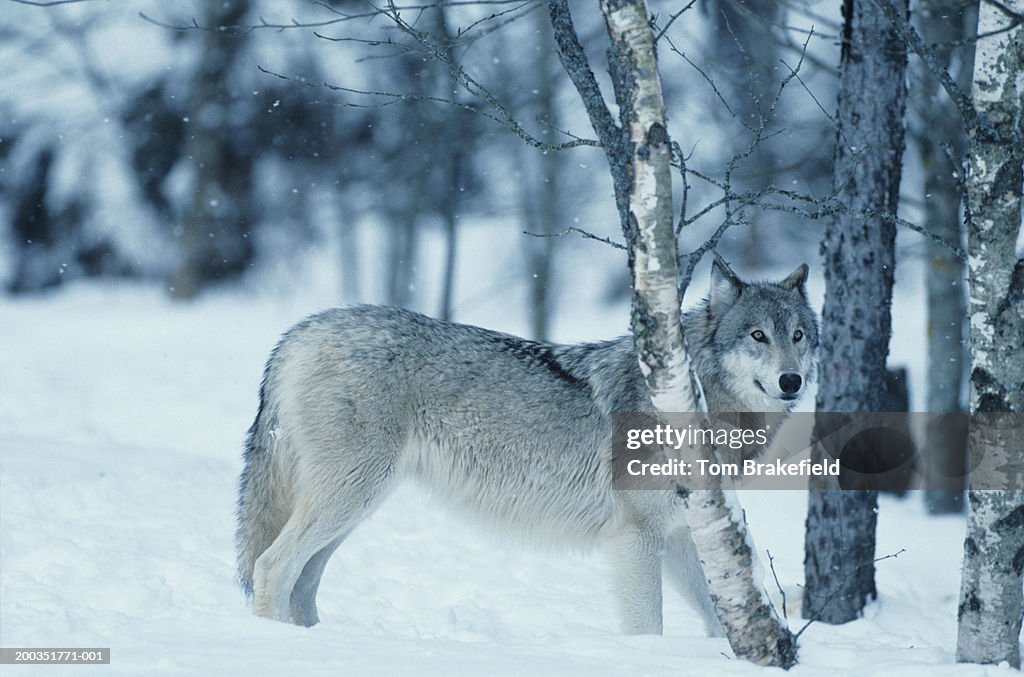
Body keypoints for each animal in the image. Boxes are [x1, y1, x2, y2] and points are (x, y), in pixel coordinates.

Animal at [235, 257, 819, 635]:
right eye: (758, 336)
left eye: (798, 335)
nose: (792, 381)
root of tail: (300, 331)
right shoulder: (636, 538)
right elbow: (647, 627)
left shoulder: (679, 538)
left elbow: (724, 621)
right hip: (350, 497)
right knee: (271, 566)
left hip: (356, 506)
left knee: (302, 581)